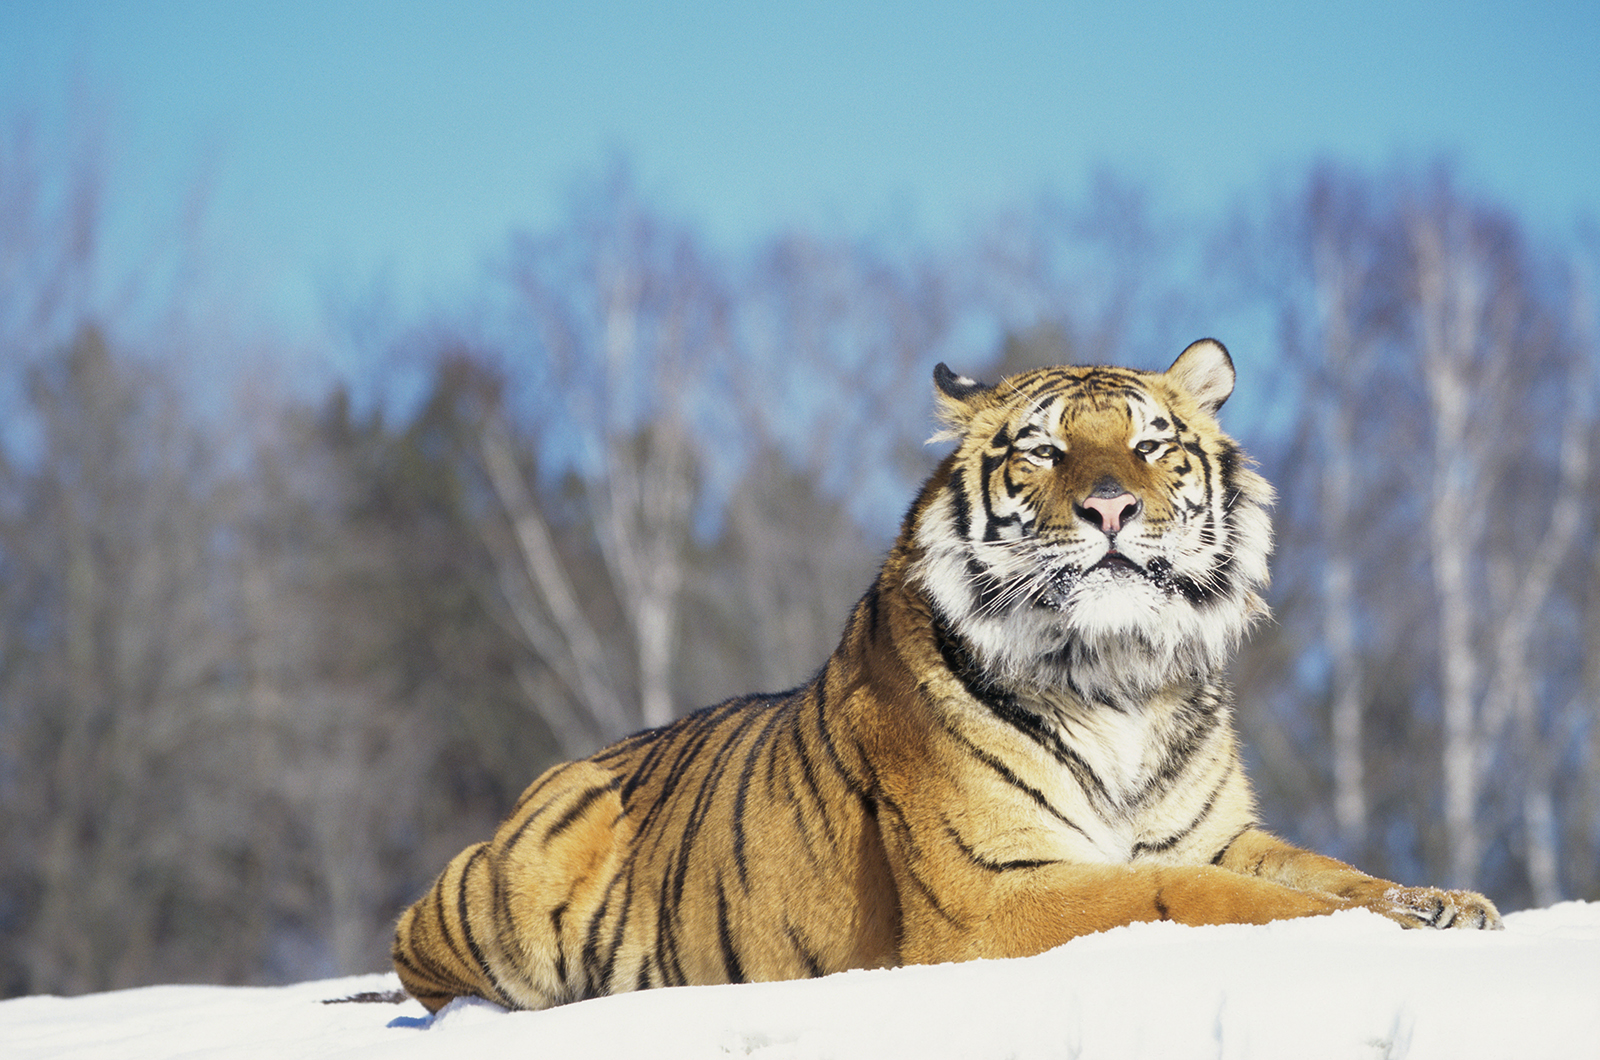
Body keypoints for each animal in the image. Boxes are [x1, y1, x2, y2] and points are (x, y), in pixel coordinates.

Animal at [390, 344, 1497, 1018]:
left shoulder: (1220, 830)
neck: (1121, 675)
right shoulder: (993, 892)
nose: (1110, 509)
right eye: (1044, 450)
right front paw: (1387, 926)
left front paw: (1443, 903)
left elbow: (1324, 868)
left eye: (1151, 446)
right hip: (519, 871)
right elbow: (1193, 894)